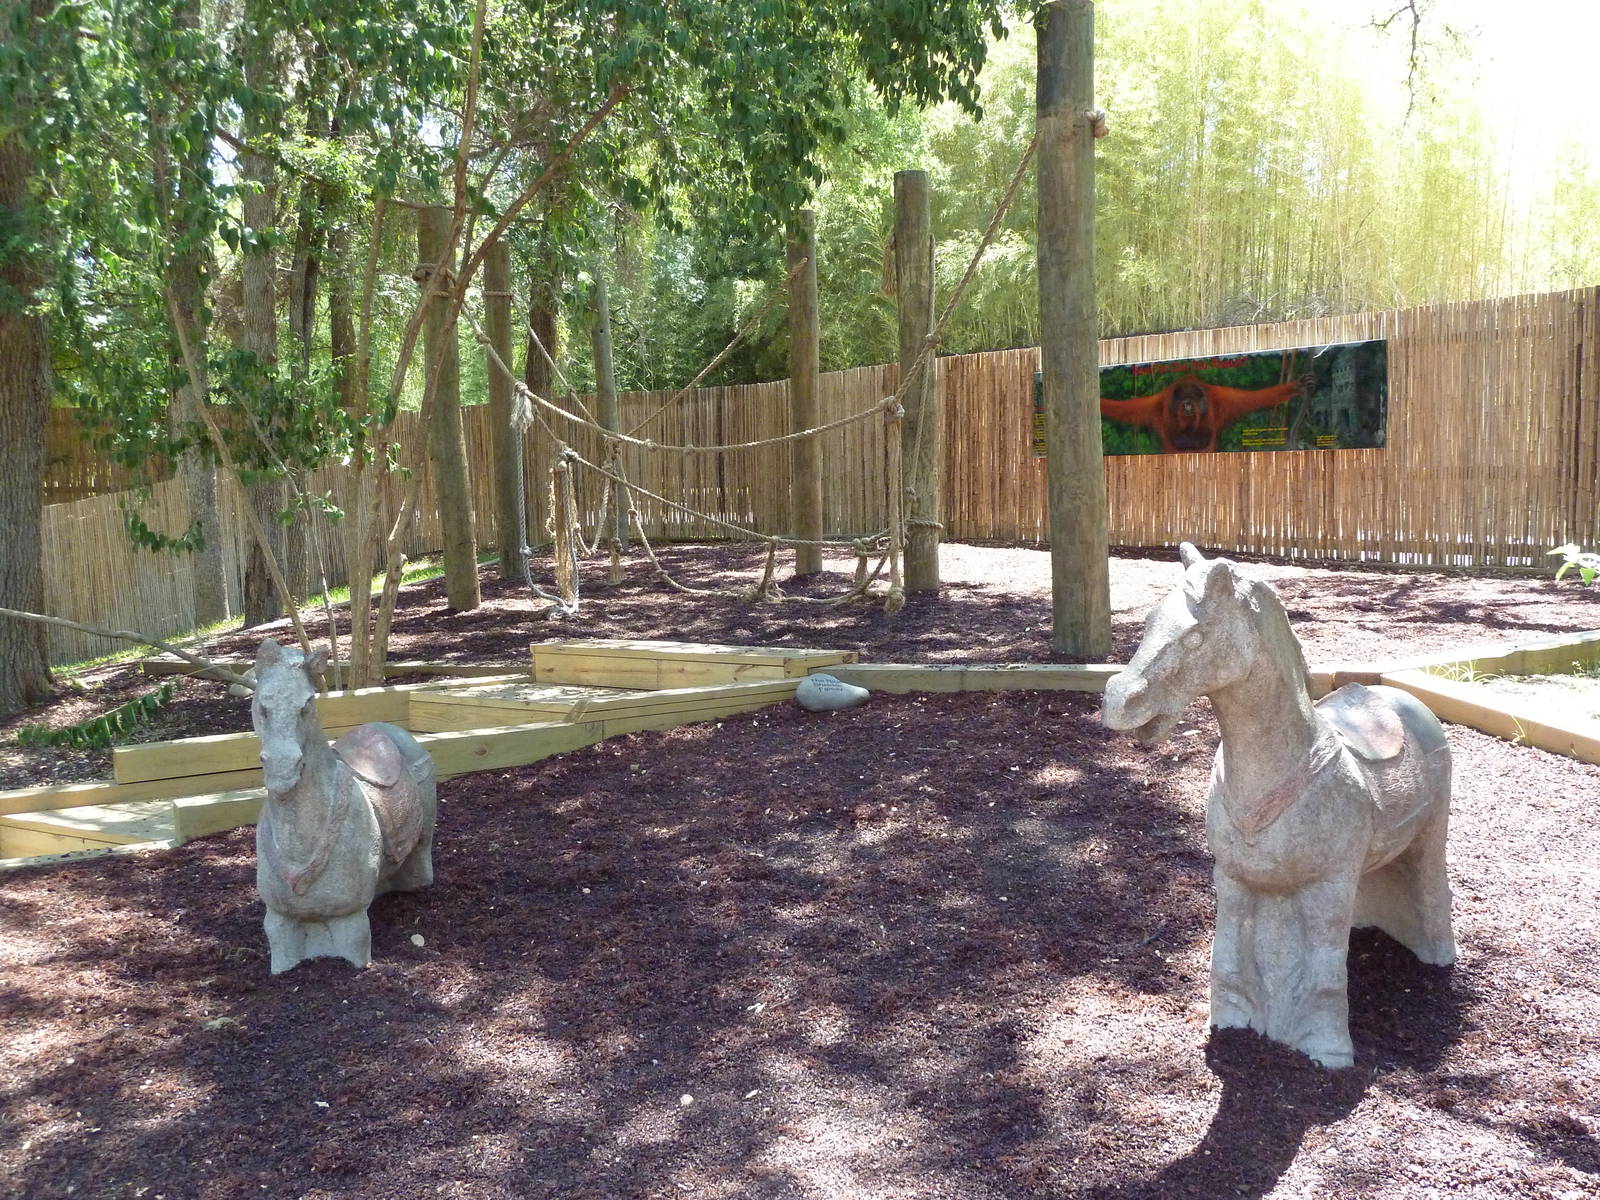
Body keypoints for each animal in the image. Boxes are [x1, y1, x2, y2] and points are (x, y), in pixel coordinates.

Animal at [1099, 373, 1314, 453]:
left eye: (1193, 399)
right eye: (1184, 400)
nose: (1187, 405)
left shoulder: (1220, 399)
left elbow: (1258, 397)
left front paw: (1296, 387)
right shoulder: (1157, 405)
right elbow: (1125, 409)